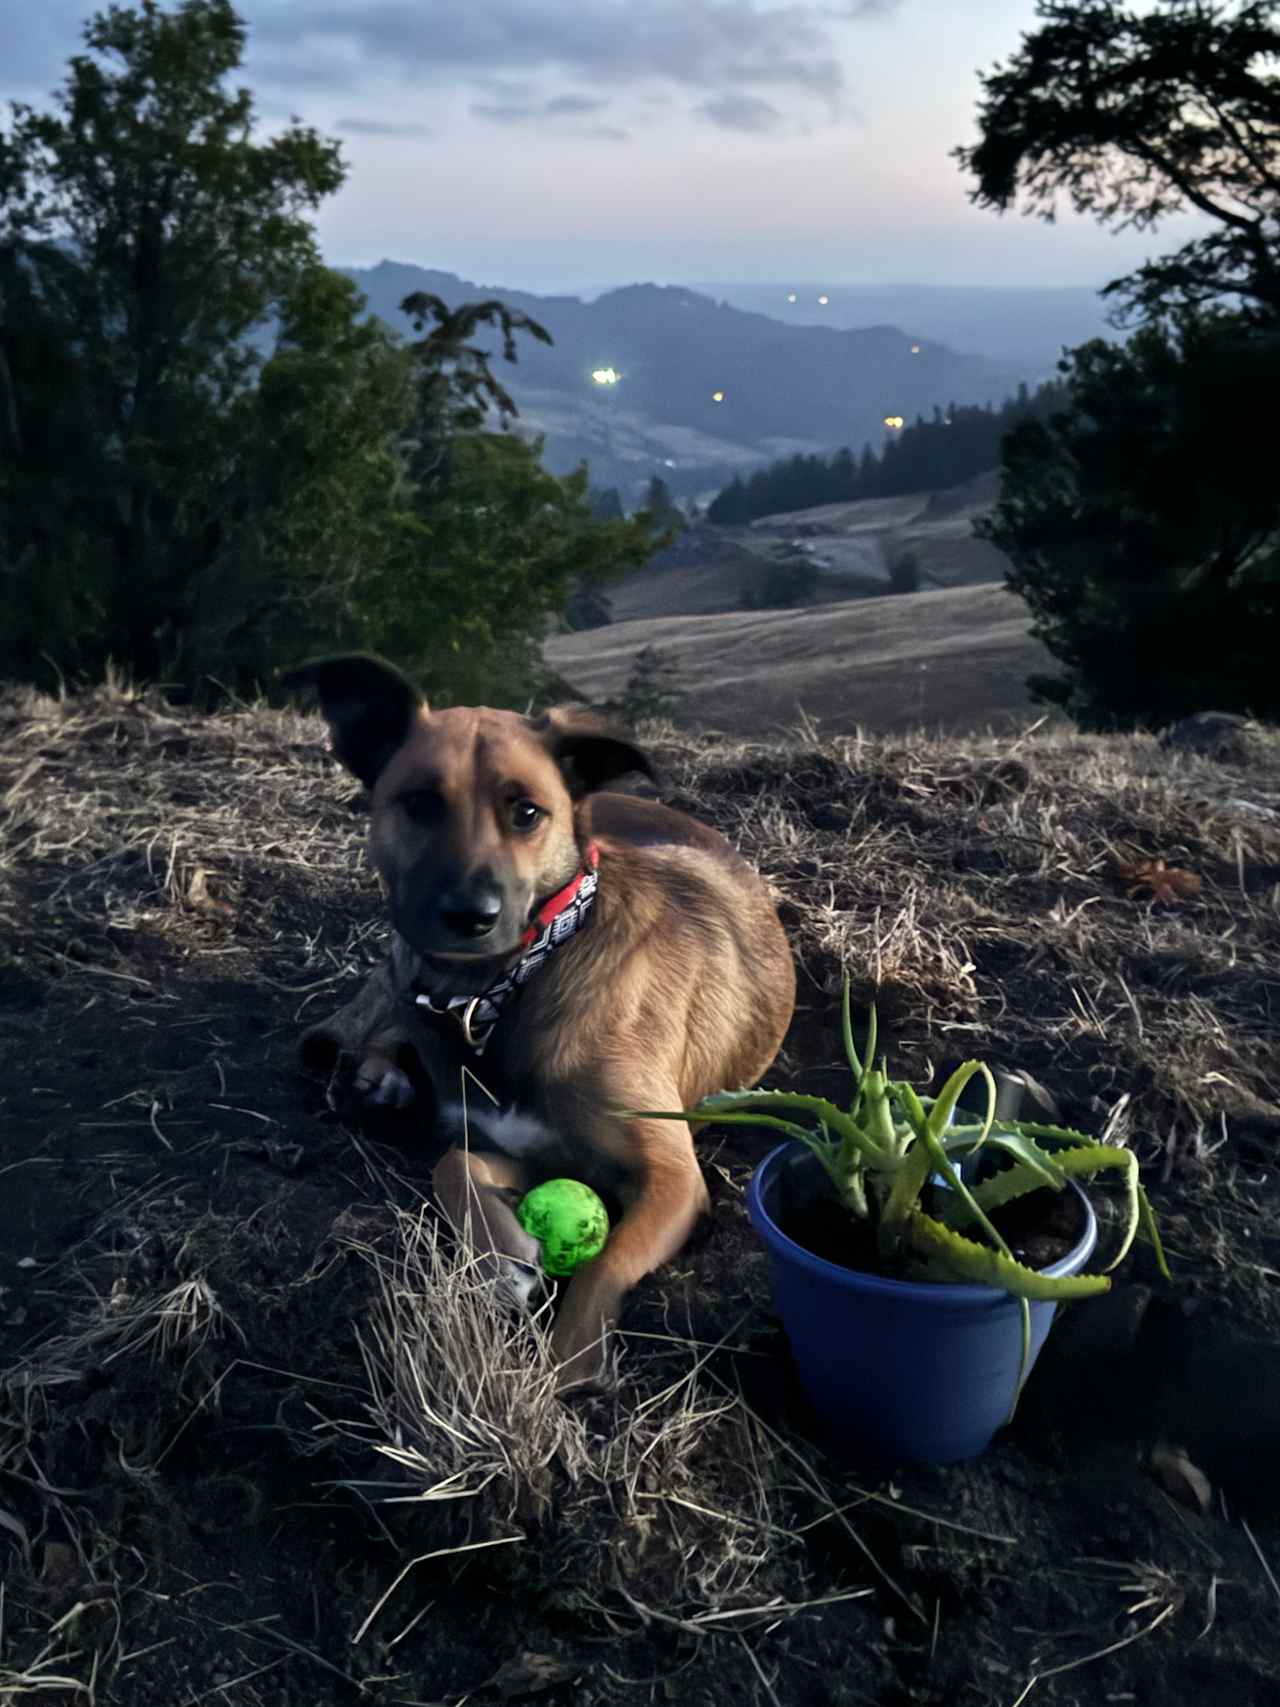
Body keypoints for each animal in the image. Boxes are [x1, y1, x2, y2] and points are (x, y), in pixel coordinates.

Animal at [291, 655, 798, 1386]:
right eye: (419, 802)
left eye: (526, 811)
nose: (470, 915)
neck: (512, 982)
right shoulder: (522, 1145)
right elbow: (452, 1161)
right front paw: (502, 1254)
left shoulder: (672, 1178)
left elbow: (608, 1259)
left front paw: (569, 1362)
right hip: (399, 961)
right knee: (384, 1020)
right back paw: (377, 1079)